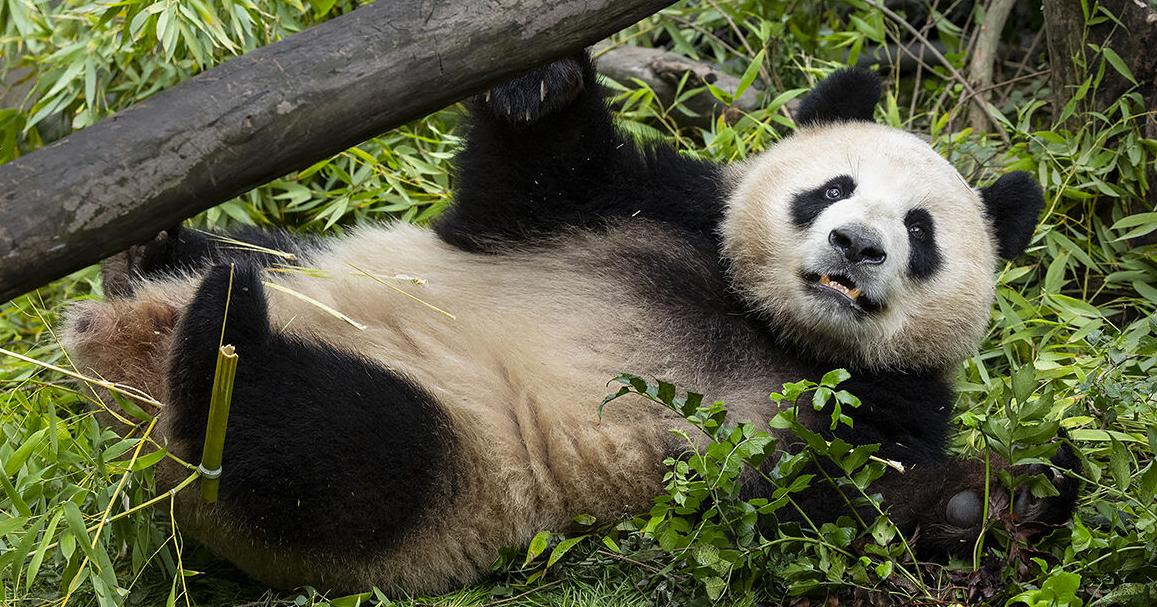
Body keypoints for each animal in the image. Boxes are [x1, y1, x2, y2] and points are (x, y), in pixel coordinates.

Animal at [61, 50, 1073, 591]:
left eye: (920, 231)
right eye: (833, 187)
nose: (858, 243)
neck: (767, 322)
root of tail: (123, 367)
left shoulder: (874, 401)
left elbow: (812, 504)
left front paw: (993, 500)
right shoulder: (647, 207)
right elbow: (528, 182)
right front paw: (541, 81)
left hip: (451, 474)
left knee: (331, 448)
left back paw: (217, 351)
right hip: (304, 266)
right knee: (248, 264)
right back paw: (154, 257)